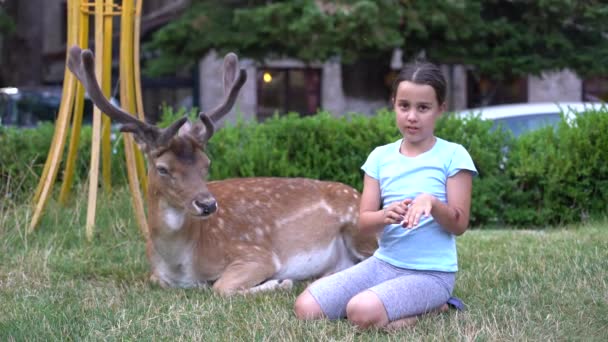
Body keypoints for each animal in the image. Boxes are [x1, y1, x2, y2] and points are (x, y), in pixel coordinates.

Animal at [69, 45, 378, 296]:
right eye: (163, 168)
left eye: (206, 164)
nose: (207, 204)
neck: (181, 261)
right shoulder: (156, 276)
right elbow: (162, 281)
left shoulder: (256, 254)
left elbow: (221, 287)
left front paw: (279, 282)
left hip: (359, 226)